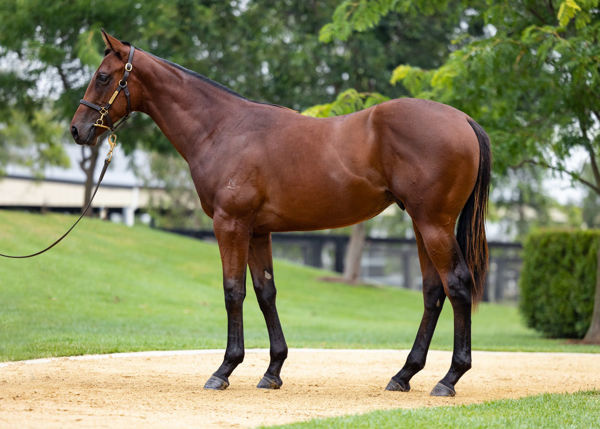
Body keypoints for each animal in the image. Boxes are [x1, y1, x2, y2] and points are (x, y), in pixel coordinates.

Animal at [71, 31, 492, 396]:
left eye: (103, 77)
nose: (77, 130)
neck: (222, 129)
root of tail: (463, 120)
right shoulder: (258, 231)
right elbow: (265, 292)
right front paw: (273, 371)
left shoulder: (230, 225)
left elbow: (233, 291)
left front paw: (224, 369)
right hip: (422, 225)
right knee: (433, 291)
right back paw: (404, 375)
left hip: (433, 224)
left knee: (456, 284)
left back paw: (449, 378)